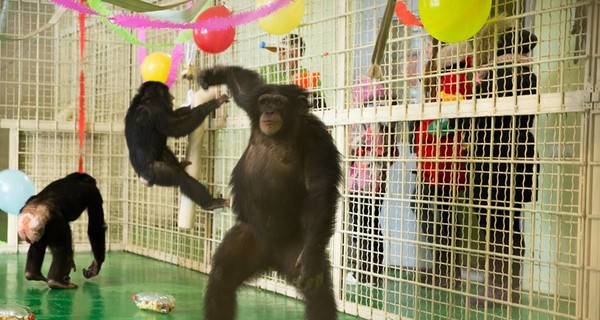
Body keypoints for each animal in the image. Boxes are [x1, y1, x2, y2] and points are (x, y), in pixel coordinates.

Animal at [124, 80, 230, 210]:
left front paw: (186, 107)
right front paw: (212, 105)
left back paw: (180, 165)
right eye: (167, 93)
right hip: (156, 172)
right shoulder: (156, 108)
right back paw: (211, 203)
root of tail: (143, 178)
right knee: (181, 178)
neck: (145, 99)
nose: (172, 97)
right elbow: (176, 126)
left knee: (166, 152)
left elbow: (175, 116)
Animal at [198, 65, 342, 320]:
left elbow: (319, 189)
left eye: (279, 102)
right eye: (265, 101)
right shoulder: (252, 104)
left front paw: (311, 262)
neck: (284, 131)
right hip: (250, 237)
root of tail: (272, 257)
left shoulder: (317, 139)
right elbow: (244, 86)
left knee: (319, 297)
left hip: (296, 247)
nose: (269, 111)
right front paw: (213, 75)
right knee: (222, 280)